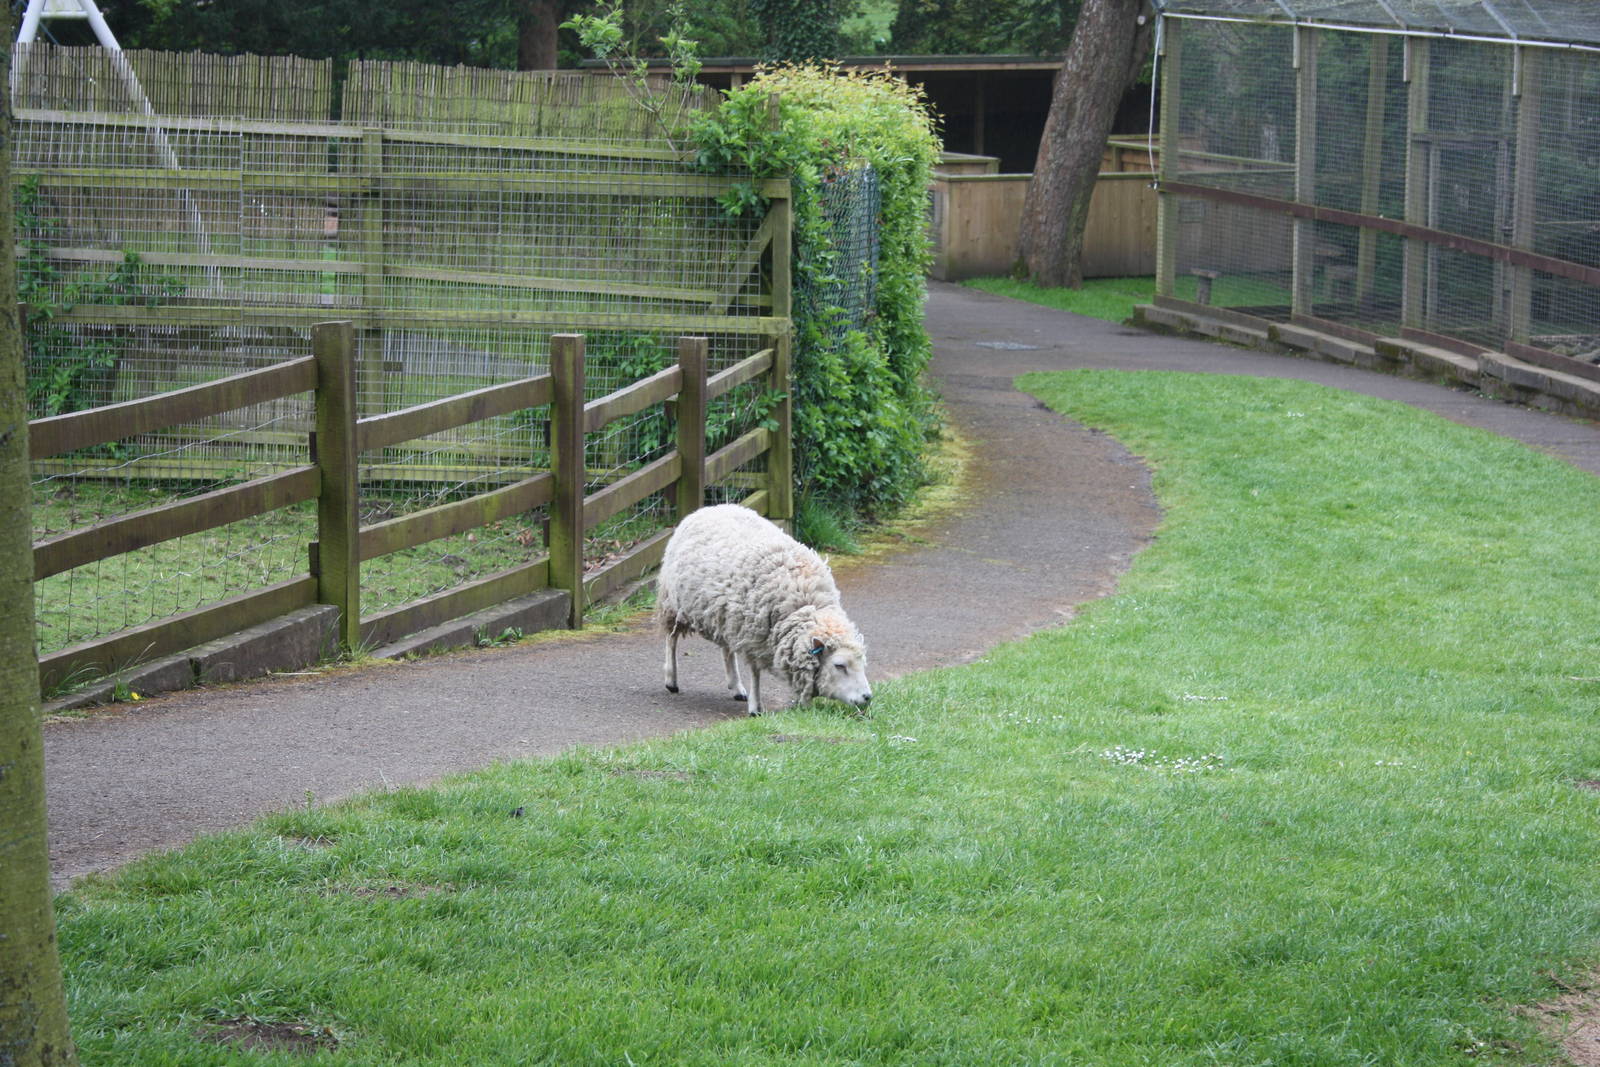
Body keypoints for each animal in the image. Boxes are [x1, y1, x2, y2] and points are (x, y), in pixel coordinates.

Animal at [656, 504, 872, 716]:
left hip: (726, 616)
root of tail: (709, 507)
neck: (803, 605)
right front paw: (755, 708)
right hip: (673, 603)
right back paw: (671, 680)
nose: (868, 697)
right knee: (671, 639)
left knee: (727, 650)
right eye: (839, 665)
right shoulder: (754, 638)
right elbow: (755, 673)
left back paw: (736, 687)